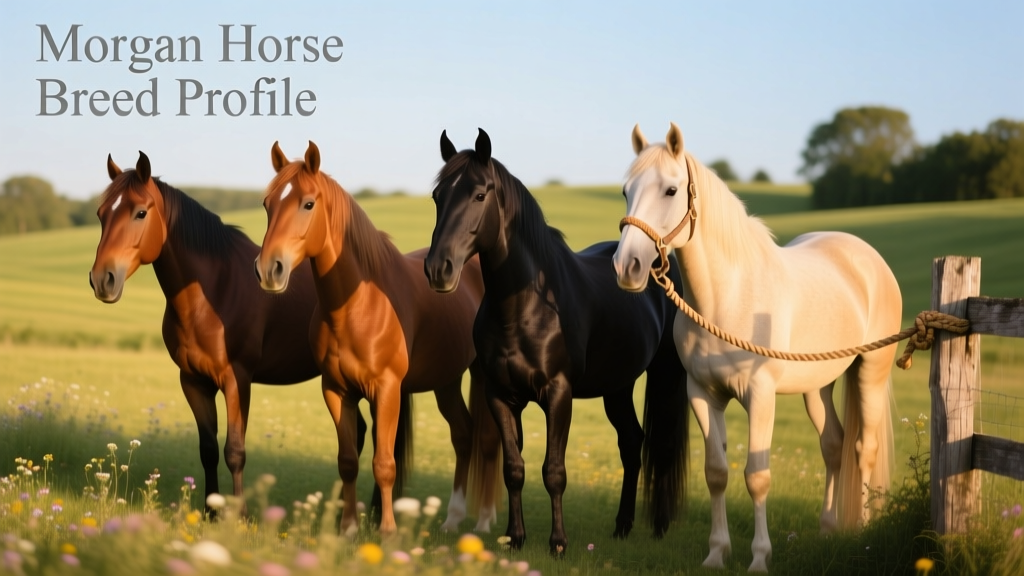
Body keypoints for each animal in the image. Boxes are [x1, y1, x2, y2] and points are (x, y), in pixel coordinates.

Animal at [88, 151, 370, 512]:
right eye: (101, 214)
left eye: (140, 212)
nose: (102, 279)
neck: (213, 293)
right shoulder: (194, 381)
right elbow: (208, 450)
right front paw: (210, 511)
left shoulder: (238, 380)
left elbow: (235, 451)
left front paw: (239, 514)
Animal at [254, 141, 502, 536]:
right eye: (267, 204)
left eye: (308, 204)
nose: (268, 269)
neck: (358, 306)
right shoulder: (336, 391)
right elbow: (348, 461)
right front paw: (347, 529)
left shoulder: (386, 391)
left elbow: (385, 463)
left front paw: (387, 531)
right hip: (445, 380)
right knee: (463, 435)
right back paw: (452, 518)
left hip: (479, 374)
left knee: (488, 439)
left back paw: (484, 520)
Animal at [423, 129, 689, 555]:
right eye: (437, 196)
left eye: (479, 194)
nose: (438, 269)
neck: (524, 307)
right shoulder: (501, 396)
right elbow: (514, 469)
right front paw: (515, 538)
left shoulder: (558, 394)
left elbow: (554, 471)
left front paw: (558, 544)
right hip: (617, 386)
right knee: (631, 443)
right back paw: (622, 526)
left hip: (665, 374)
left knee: (661, 446)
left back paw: (659, 527)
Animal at [613, 123, 901, 572]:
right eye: (626, 190)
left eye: (671, 190)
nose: (627, 267)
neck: (728, 298)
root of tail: (867, 257)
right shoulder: (703, 394)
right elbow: (716, 473)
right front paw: (716, 553)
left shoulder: (761, 396)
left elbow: (757, 477)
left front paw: (759, 558)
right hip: (817, 386)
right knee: (833, 446)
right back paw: (828, 528)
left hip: (871, 370)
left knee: (863, 449)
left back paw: (864, 530)